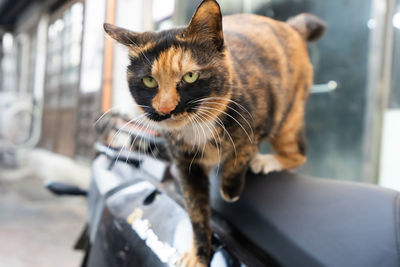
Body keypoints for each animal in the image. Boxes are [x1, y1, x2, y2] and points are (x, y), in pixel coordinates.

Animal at [103, 1, 324, 266]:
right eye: (149, 81)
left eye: (190, 76)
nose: (166, 109)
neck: (198, 125)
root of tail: (289, 26)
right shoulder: (186, 167)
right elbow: (197, 213)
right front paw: (198, 255)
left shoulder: (260, 120)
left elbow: (242, 152)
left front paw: (230, 189)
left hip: (288, 119)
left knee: (298, 153)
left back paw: (266, 161)